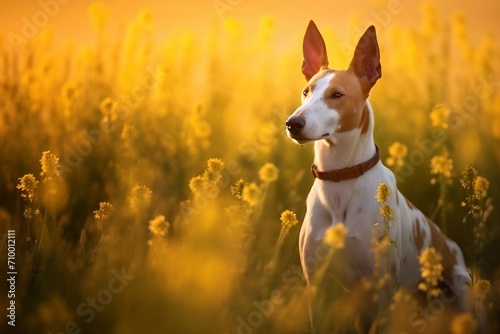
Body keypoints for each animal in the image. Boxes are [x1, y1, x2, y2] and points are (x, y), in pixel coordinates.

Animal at [288, 20, 470, 332]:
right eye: (306, 91)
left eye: (337, 95)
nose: (293, 123)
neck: (340, 178)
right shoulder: (317, 287)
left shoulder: (381, 289)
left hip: (463, 291)